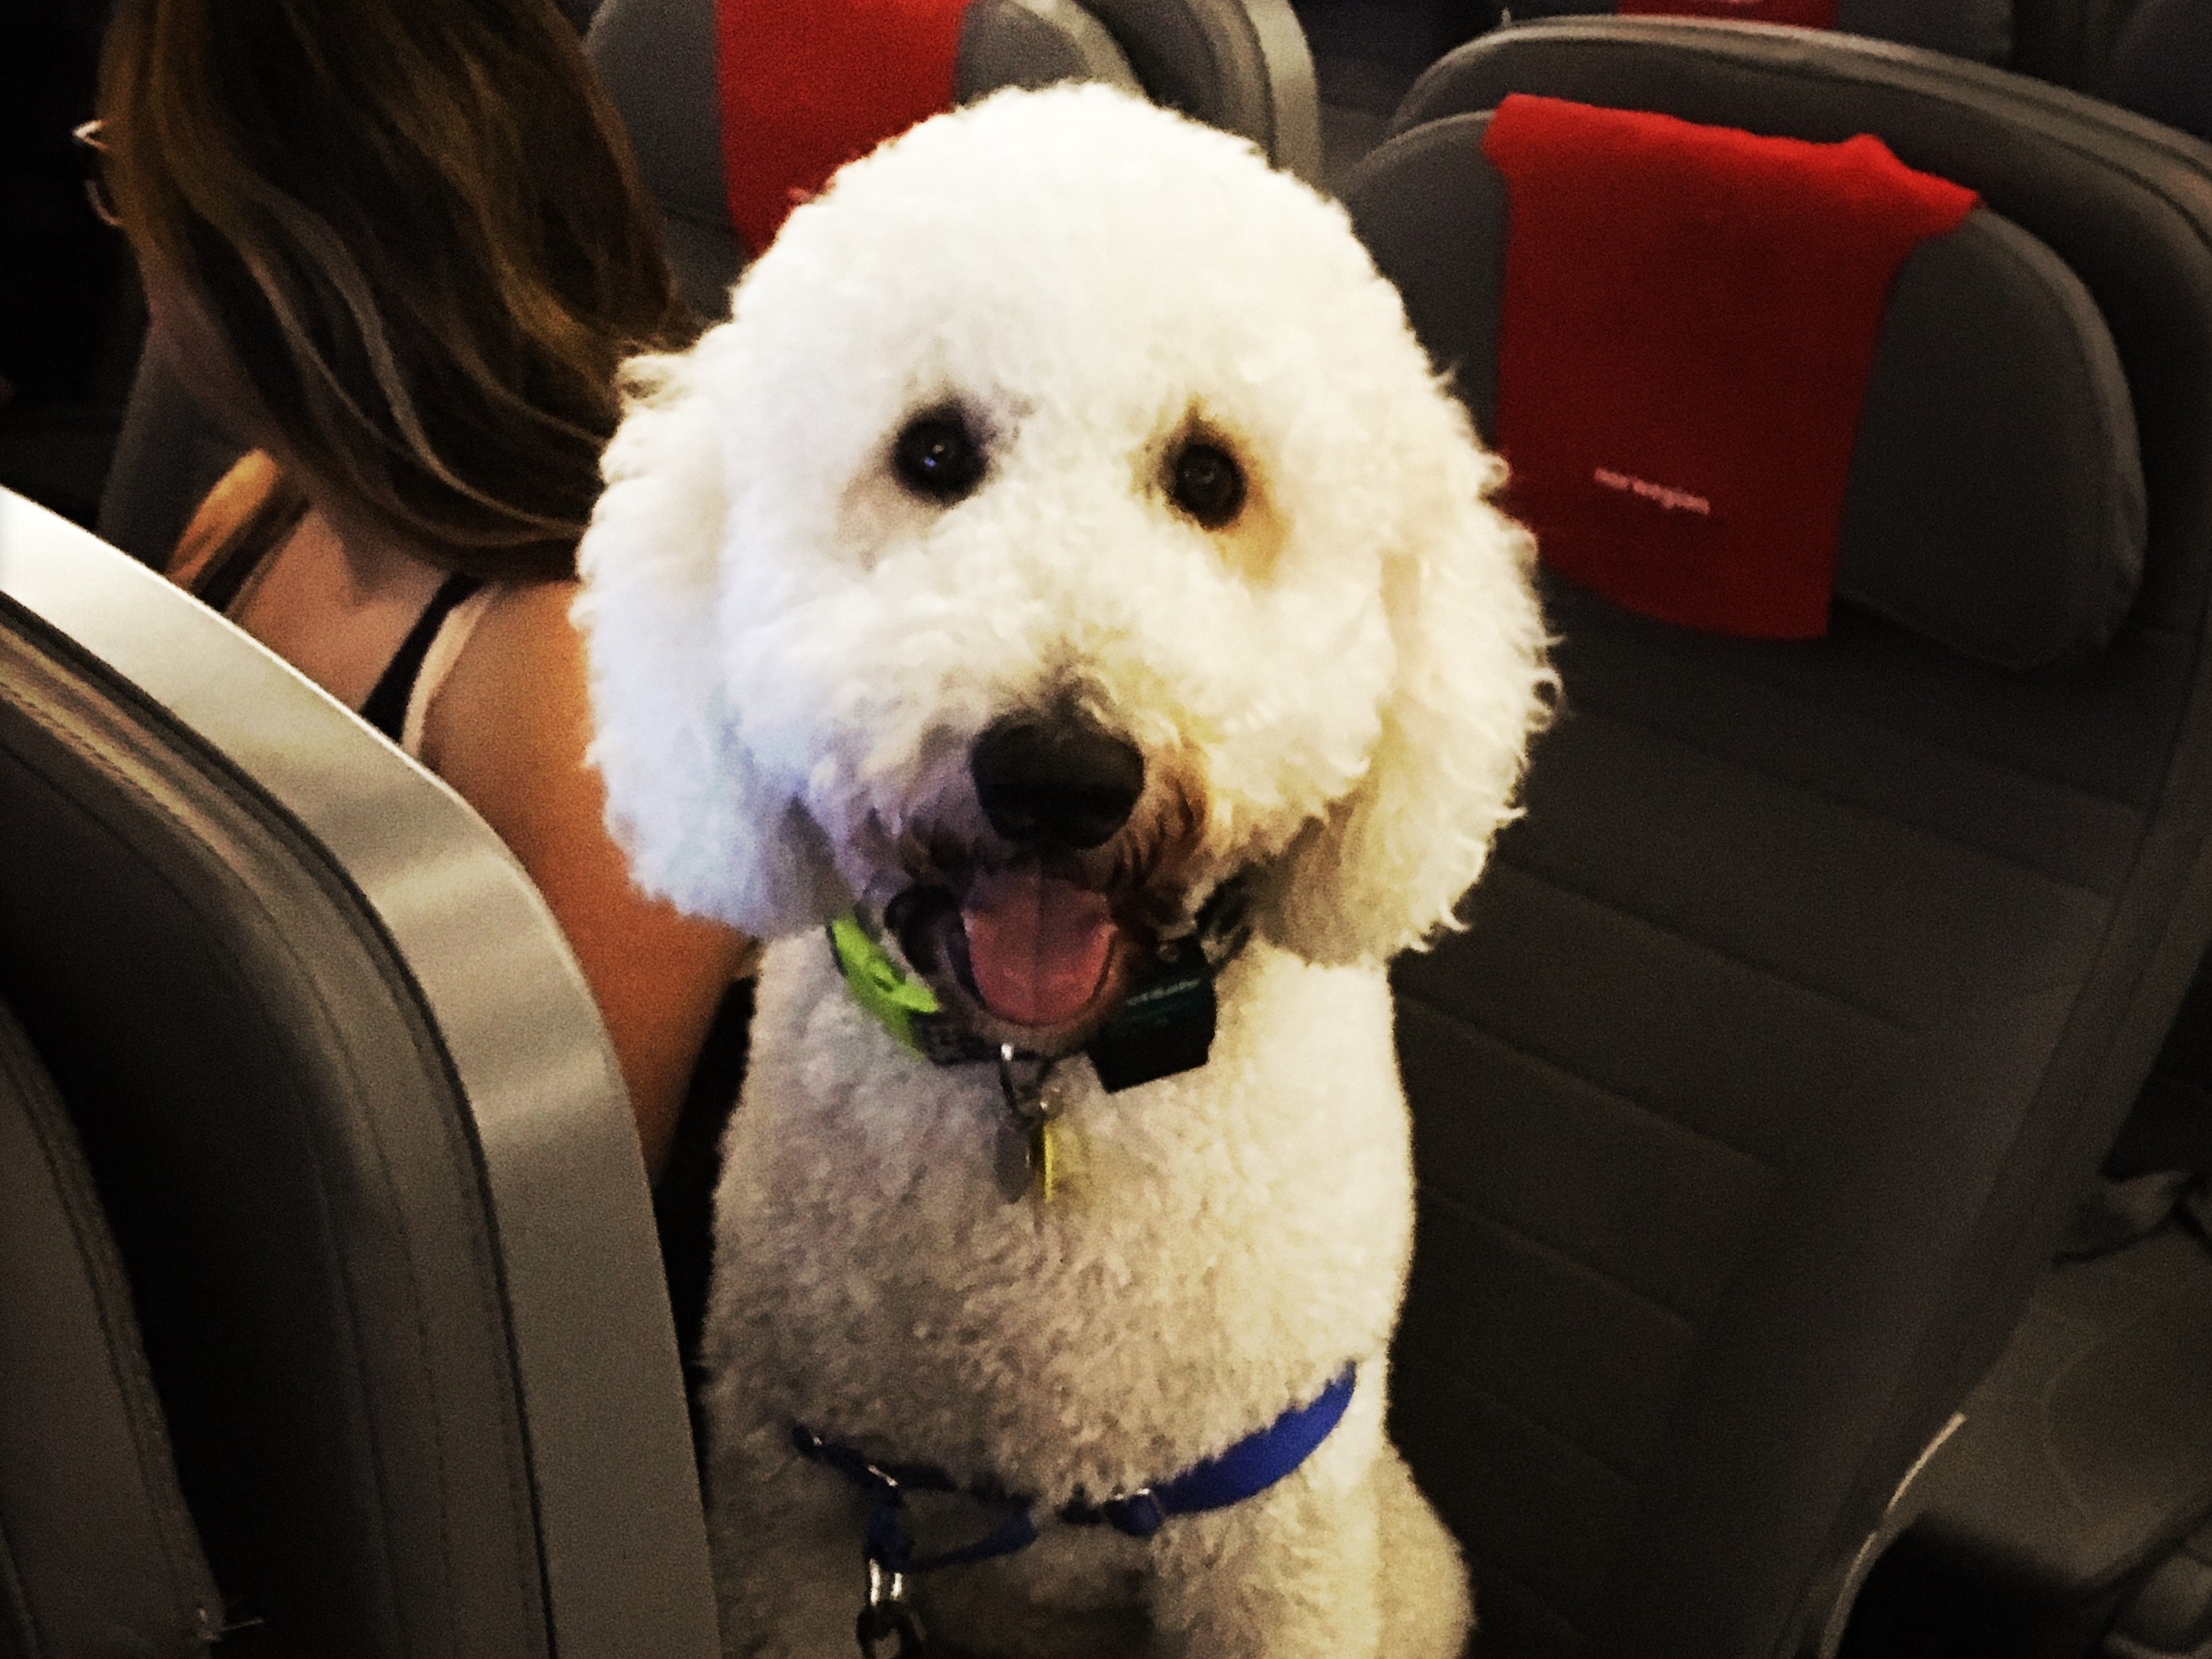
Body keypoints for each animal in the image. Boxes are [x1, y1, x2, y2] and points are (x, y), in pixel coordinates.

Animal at [579, 84, 1557, 1659]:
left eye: (1209, 477)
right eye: (931, 454)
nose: (1057, 773)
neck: (1049, 1079)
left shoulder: (1269, 1532)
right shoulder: (800, 1498)